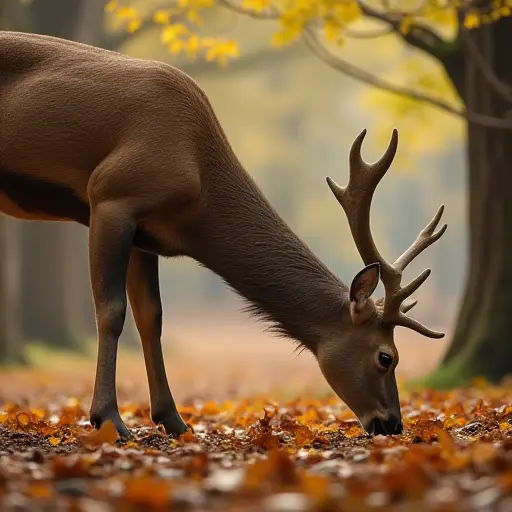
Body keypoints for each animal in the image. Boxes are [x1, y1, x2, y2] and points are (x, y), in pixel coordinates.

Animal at [1, 31, 448, 440]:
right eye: (387, 357)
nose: (392, 423)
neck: (197, 193)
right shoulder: (111, 195)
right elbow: (112, 312)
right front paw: (108, 419)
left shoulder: (146, 235)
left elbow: (152, 318)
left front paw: (174, 421)